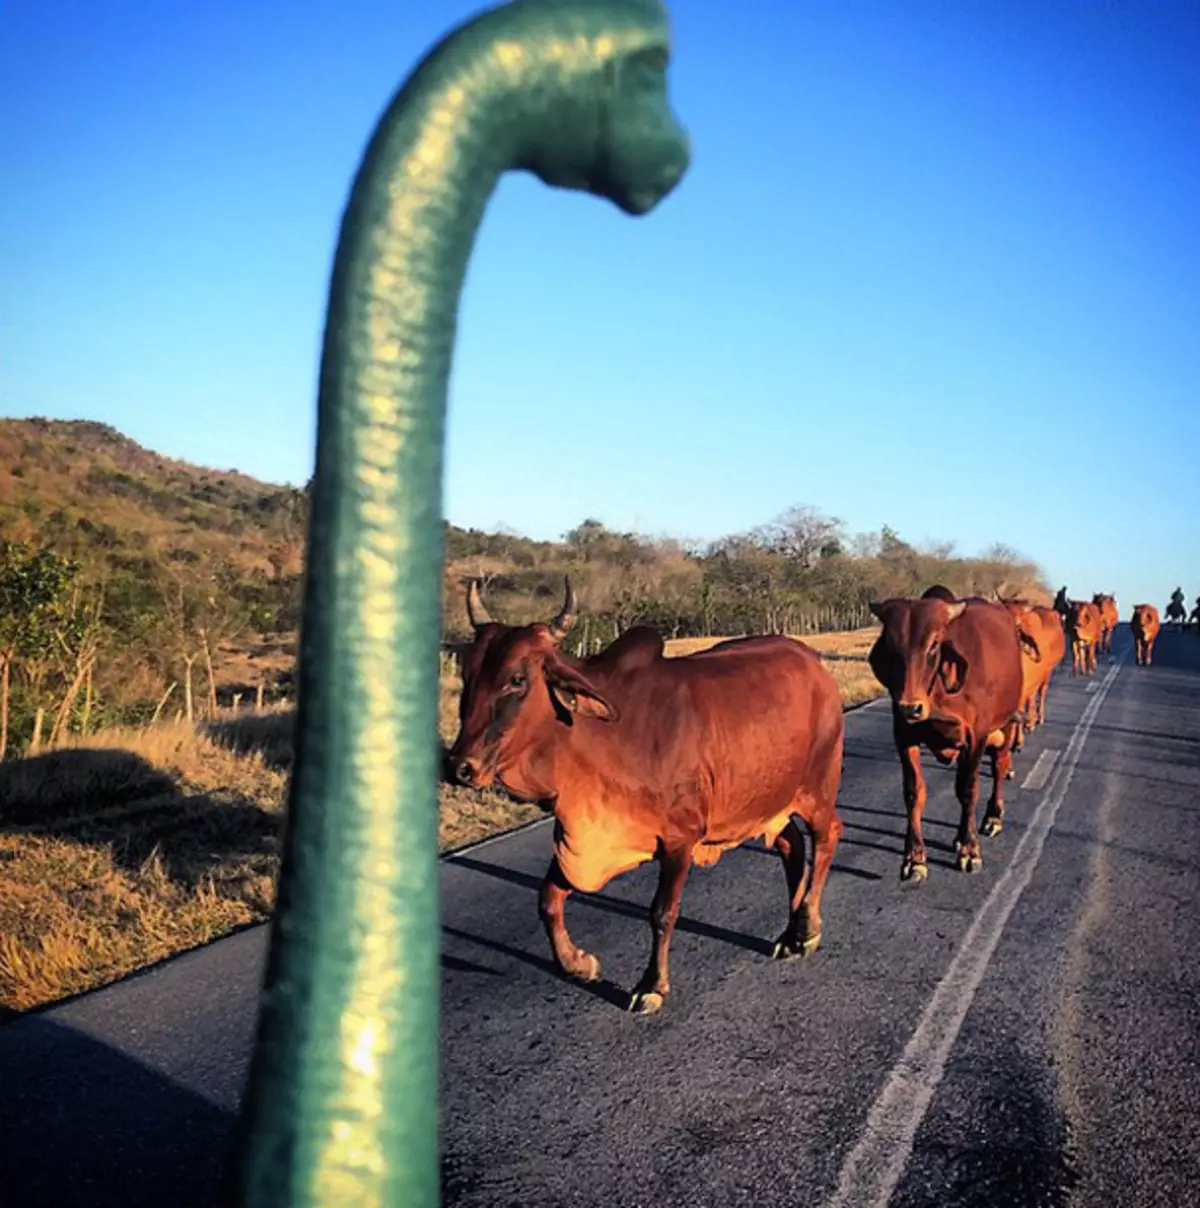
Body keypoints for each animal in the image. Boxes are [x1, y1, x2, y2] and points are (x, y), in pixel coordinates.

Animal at [865, 594, 1024, 879]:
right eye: (892, 646)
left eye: (933, 645)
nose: (911, 708)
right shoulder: (904, 736)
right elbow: (914, 793)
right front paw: (914, 857)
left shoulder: (976, 737)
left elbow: (969, 790)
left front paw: (970, 850)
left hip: (1005, 725)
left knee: (999, 766)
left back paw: (992, 817)